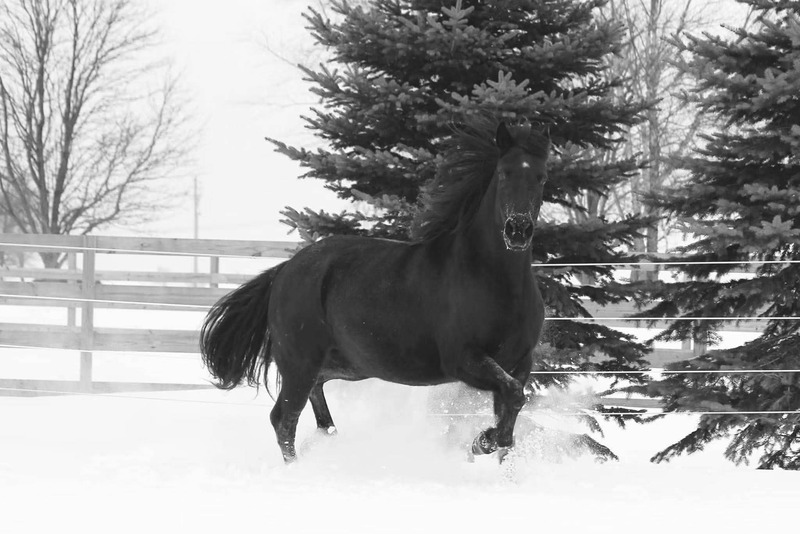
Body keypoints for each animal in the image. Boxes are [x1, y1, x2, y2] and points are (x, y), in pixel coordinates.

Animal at [200, 118, 550, 463]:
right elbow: (512, 398)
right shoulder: (464, 359)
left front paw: (491, 448)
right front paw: (481, 443)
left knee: (314, 407)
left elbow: (511, 410)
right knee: (283, 420)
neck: (495, 282)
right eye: (504, 173)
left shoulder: (519, 363)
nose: (518, 230)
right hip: (300, 362)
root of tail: (284, 271)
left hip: (337, 365)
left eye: (541, 177)